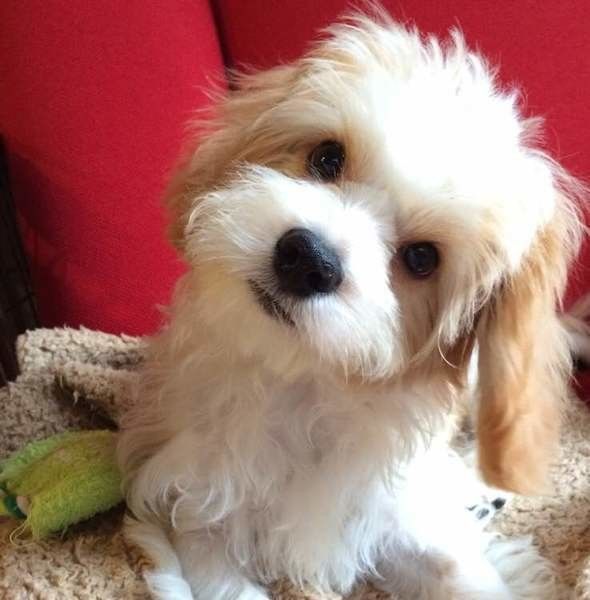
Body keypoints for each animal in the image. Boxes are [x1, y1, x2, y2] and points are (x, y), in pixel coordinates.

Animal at [117, 11, 583, 599]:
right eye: (326, 157)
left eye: (423, 258)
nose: (307, 258)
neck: (303, 386)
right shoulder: (197, 505)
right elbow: (221, 575)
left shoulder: (389, 511)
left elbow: (456, 568)